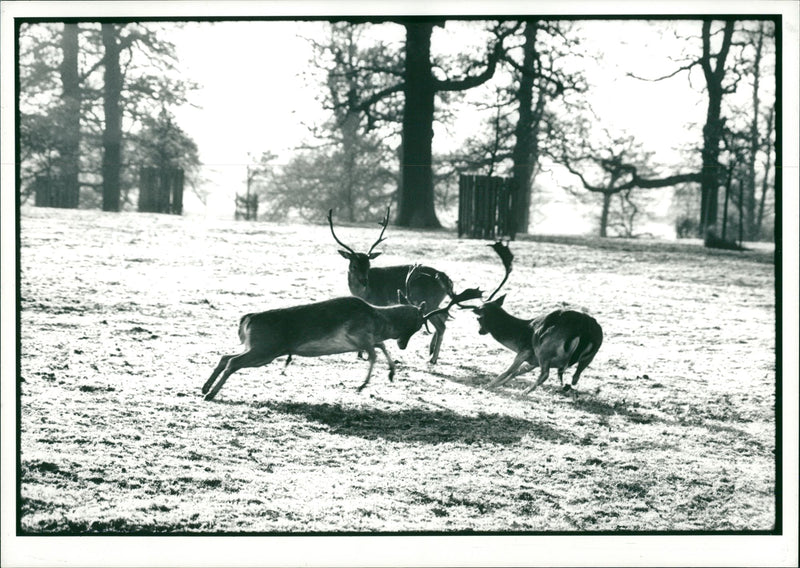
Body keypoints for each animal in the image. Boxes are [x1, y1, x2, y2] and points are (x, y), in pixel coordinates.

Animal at [200, 266, 482, 402]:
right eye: (416, 324)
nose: (403, 344)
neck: (379, 320)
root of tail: (247, 319)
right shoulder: (358, 336)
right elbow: (374, 353)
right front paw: (362, 384)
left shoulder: (367, 339)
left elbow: (381, 349)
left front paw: (391, 374)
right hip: (266, 349)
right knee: (233, 362)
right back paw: (210, 394)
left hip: (257, 348)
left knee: (225, 356)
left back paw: (204, 387)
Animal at [328, 207, 456, 364]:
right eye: (354, 266)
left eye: (368, 265)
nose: (364, 280)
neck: (363, 293)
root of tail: (447, 280)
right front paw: (360, 354)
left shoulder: (379, 303)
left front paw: (362, 354)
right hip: (434, 303)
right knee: (444, 317)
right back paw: (431, 352)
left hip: (429, 301)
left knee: (441, 325)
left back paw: (433, 358)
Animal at [466, 242, 604, 398]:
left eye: (478, 318)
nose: (480, 331)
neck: (519, 335)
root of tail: (584, 331)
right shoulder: (533, 359)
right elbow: (517, 371)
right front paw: (496, 384)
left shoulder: (526, 350)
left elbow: (509, 370)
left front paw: (487, 385)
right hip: (587, 357)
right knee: (575, 376)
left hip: (544, 348)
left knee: (545, 374)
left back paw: (524, 392)